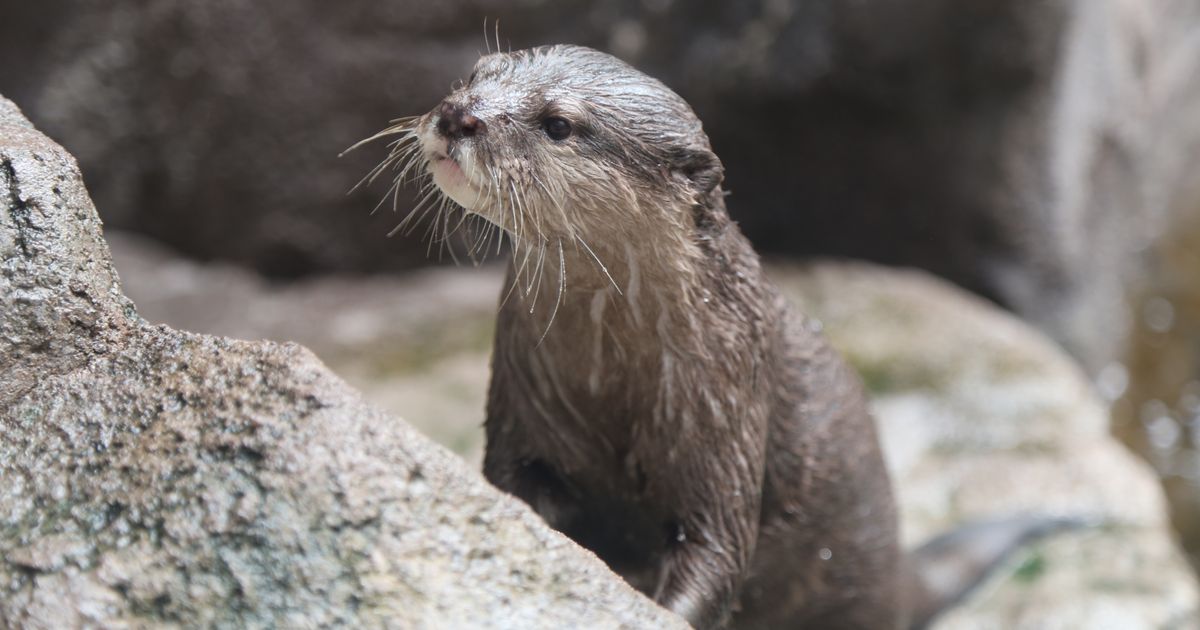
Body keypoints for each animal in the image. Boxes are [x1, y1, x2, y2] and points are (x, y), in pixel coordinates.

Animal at [350, 45, 1064, 629]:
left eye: (558, 124)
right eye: (475, 75)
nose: (459, 116)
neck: (614, 378)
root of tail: (894, 564)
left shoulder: (728, 420)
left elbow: (715, 553)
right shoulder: (524, 409)